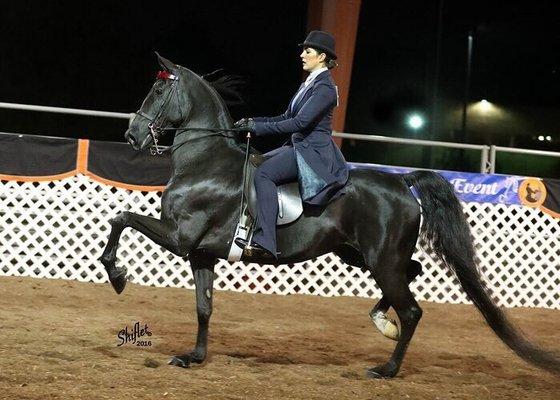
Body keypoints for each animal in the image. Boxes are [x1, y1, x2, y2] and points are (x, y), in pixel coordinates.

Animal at [98, 55, 556, 378]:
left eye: (158, 91)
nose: (132, 136)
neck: (204, 163)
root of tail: (401, 182)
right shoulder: (201, 254)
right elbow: (204, 307)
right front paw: (193, 357)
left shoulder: (180, 237)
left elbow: (121, 217)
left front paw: (117, 275)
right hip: (361, 255)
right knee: (412, 274)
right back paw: (382, 323)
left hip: (380, 260)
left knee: (411, 309)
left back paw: (387, 368)